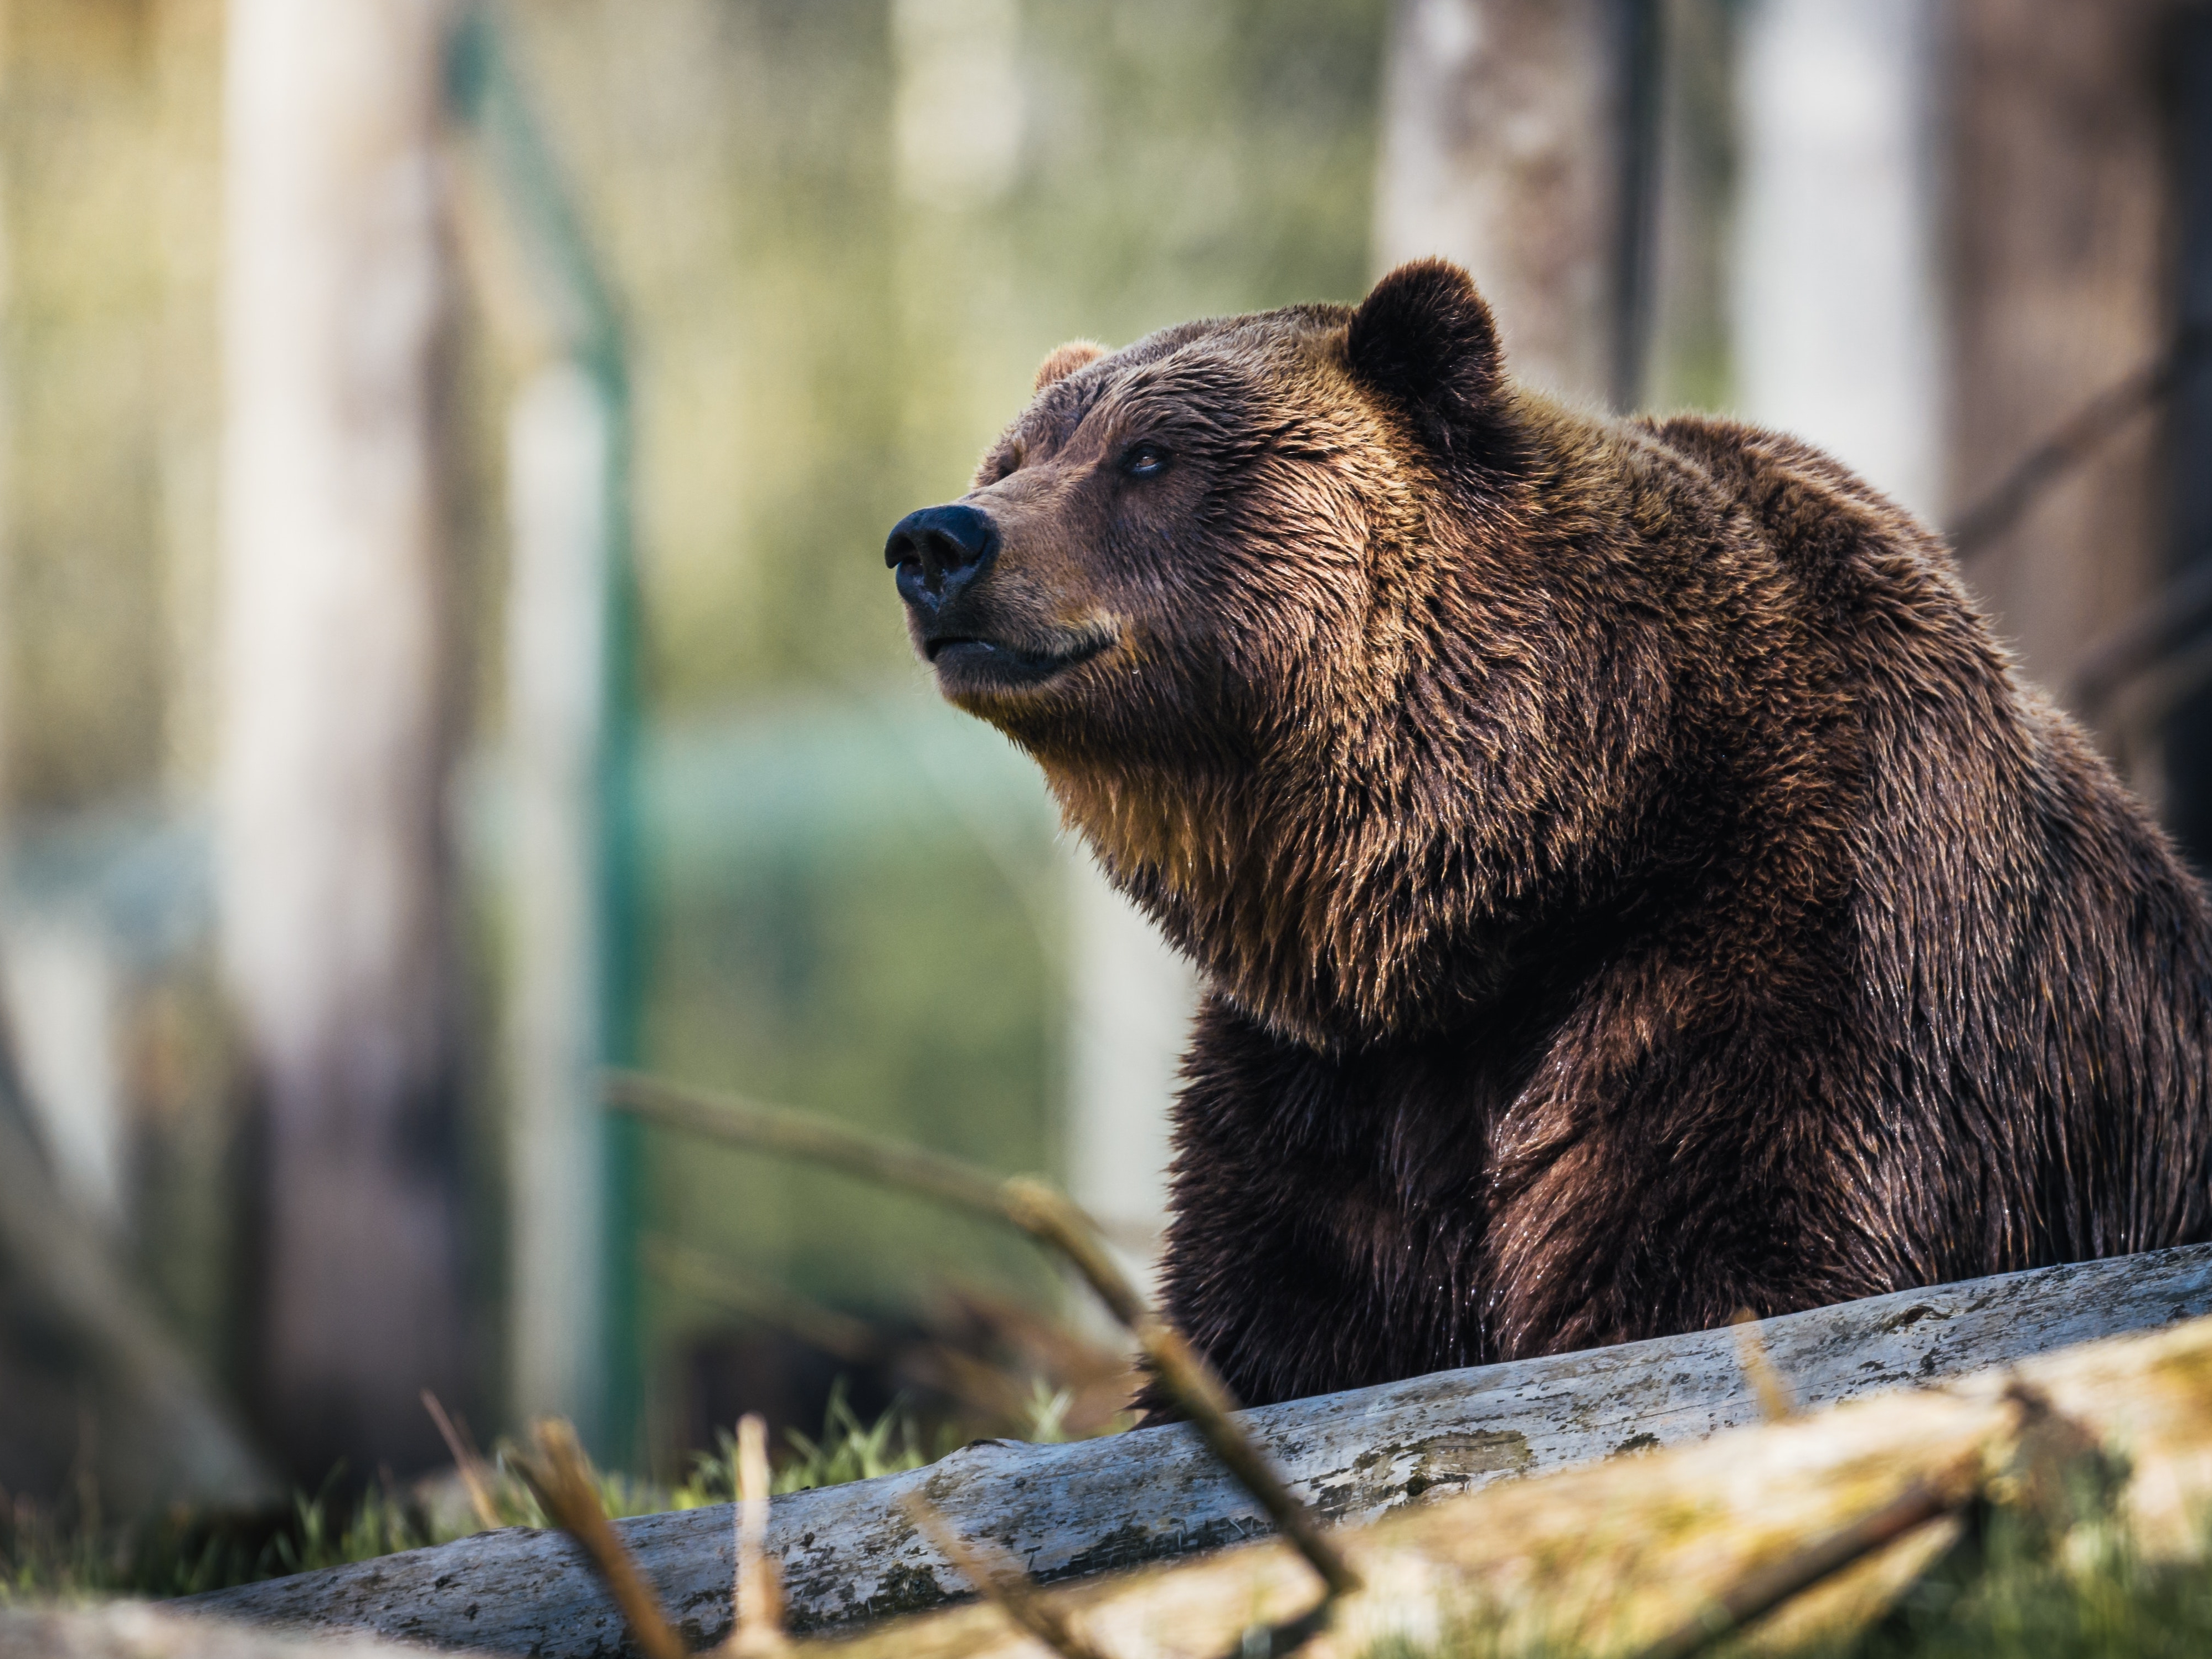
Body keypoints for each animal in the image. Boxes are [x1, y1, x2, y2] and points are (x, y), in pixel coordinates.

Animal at [883, 258, 2212, 1411]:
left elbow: (1721, 1260)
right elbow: (1272, 1317)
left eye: (1148, 455)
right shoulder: (1330, 1084)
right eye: (1013, 456)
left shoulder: (1797, 946)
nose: (939, 540)